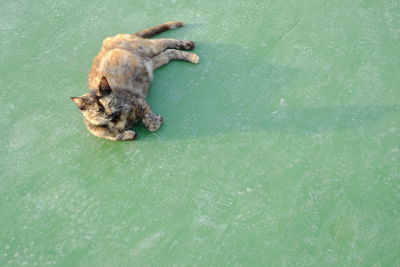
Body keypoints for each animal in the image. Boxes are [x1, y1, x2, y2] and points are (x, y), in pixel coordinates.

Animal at [71, 22, 199, 141]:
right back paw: (190, 56)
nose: (110, 113)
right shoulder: (102, 132)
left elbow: (147, 116)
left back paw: (188, 47)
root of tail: (107, 40)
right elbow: (115, 135)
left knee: (166, 41)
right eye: (99, 110)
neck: (114, 120)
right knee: (168, 53)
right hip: (152, 62)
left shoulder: (138, 101)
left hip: (149, 48)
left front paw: (153, 122)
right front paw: (127, 134)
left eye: (110, 103)